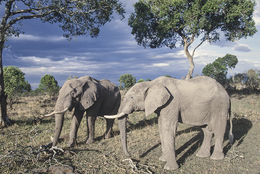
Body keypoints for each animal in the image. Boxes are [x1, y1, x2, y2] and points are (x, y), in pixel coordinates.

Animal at [104, 76, 235, 170]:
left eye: (131, 97)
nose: (130, 156)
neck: (152, 83)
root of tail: (227, 93)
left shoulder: (171, 103)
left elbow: (168, 128)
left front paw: (170, 168)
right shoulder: (161, 107)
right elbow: (161, 127)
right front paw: (162, 159)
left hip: (220, 106)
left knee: (219, 129)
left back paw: (216, 158)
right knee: (206, 130)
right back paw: (202, 155)